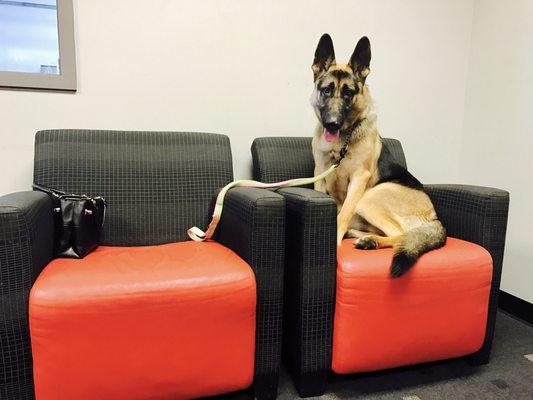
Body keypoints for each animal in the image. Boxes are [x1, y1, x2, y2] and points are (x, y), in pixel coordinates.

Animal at [310, 34, 446, 276]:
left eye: (348, 92)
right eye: (326, 90)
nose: (332, 124)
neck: (342, 143)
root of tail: (433, 217)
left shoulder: (359, 179)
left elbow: (342, 214)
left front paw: (335, 241)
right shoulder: (320, 173)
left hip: (369, 199)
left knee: (401, 234)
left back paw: (370, 241)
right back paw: (363, 237)